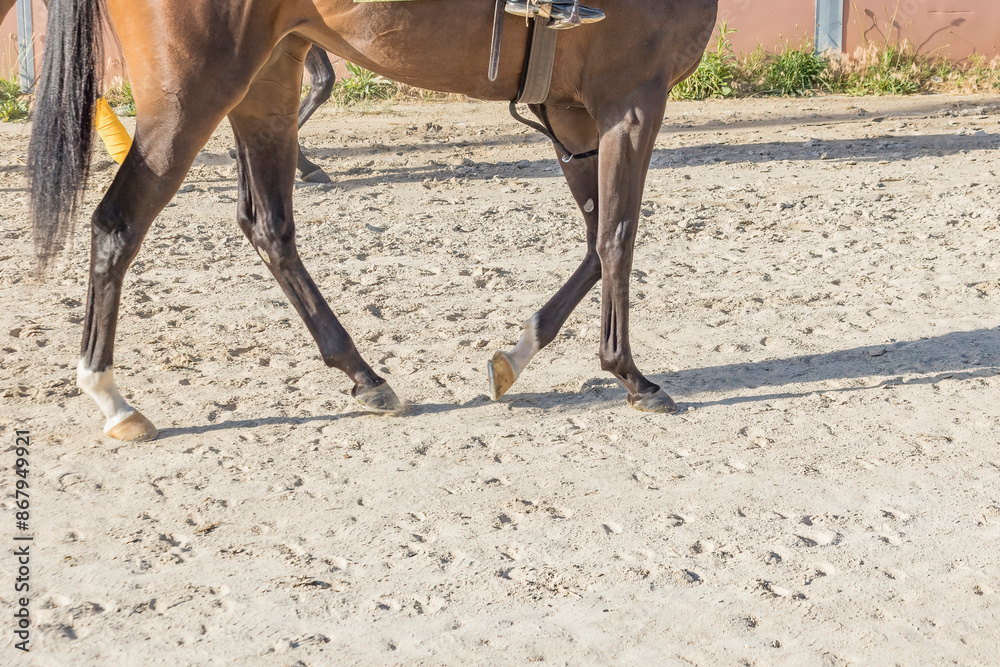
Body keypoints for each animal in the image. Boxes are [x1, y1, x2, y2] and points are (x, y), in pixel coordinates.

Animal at [28, 0, 718, 441]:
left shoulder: (573, 109)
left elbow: (595, 241)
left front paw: (517, 354)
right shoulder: (631, 101)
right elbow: (617, 238)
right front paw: (629, 374)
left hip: (265, 78)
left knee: (268, 227)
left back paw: (363, 375)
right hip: (193, 92)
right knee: (117, 224)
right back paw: (111, 397)